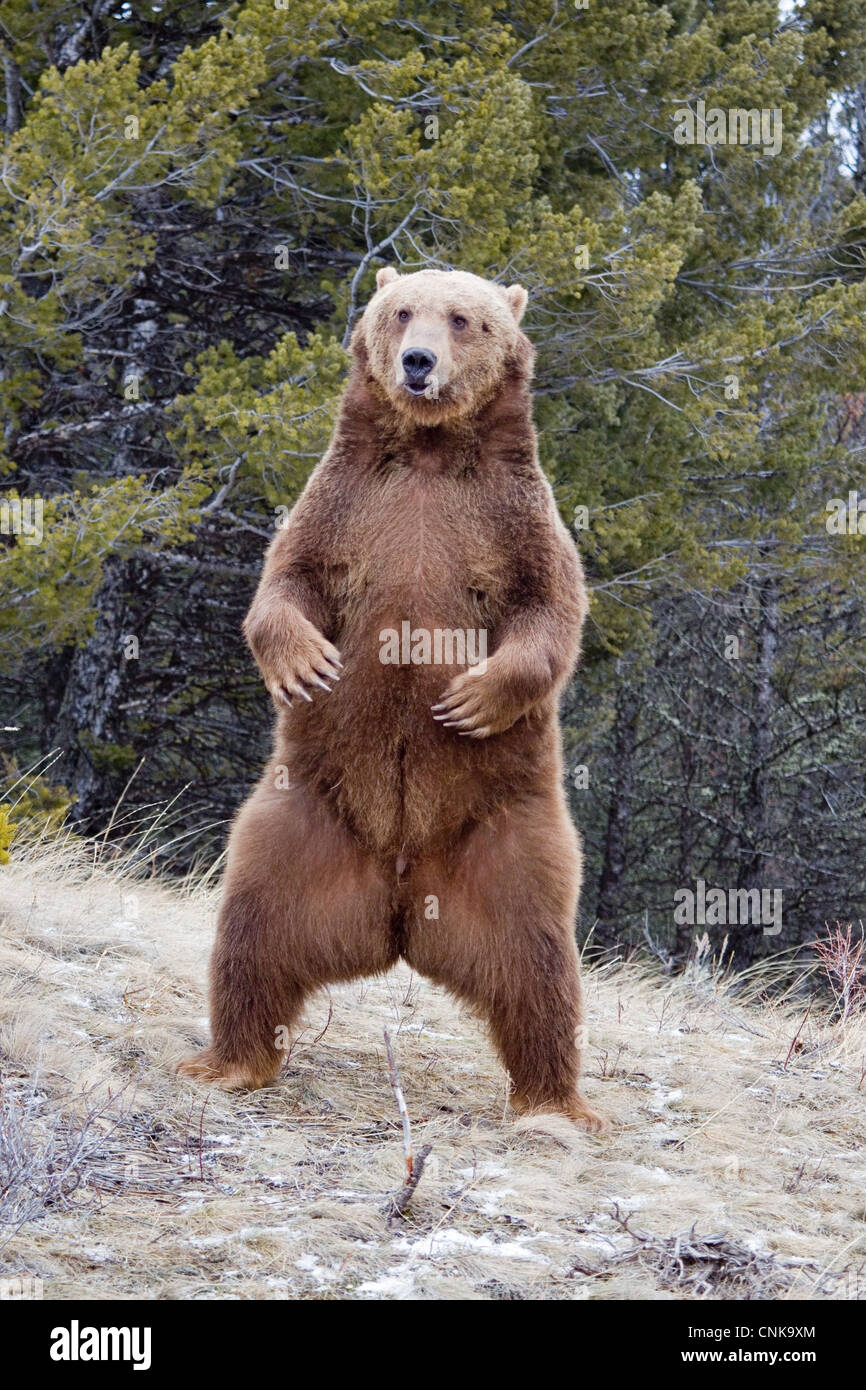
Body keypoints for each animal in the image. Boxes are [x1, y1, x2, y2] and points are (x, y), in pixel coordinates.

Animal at [178, 266, 603, 1131]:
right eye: (402, 310)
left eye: (464, 318)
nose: (417, 361)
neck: (431, 453)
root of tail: (401, 915)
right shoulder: (344, 503)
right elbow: (287, 580)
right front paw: (306, 664)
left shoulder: (513, 519)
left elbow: (549, 610)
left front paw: (473, 697)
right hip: (299, 820)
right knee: (251, 936)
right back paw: (228, 1062)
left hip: (508, 837)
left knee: (539, 970)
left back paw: (554, 1105)